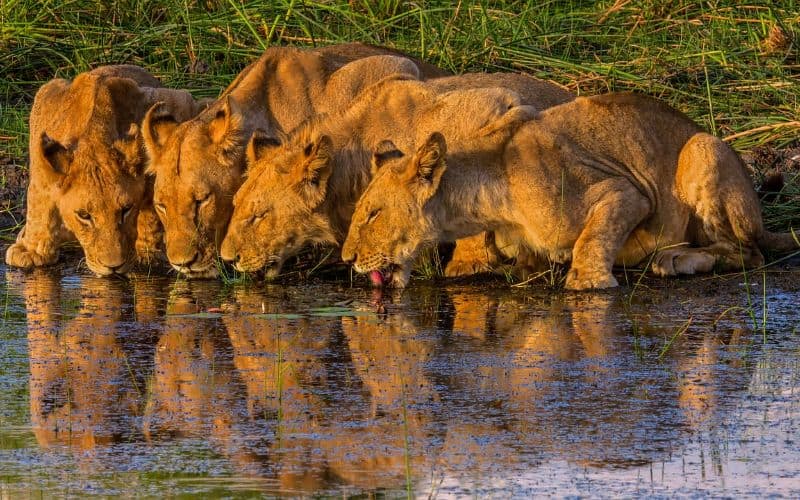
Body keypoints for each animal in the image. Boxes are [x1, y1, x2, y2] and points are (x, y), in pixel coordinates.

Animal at [4, 64, 205, 276]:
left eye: (126, 210)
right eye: (84, 216)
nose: (114, 267)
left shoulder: (175, 101)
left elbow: (151, 208)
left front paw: (146, 253)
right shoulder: (44, 106)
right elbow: (38, 201)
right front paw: (31, 251)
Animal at [342, 92, 792, 292]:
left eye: (373, 214)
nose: (347, 259)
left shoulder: (625, 192)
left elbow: (593, 238)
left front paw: (588, 281)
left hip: (703, 147)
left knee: (747, 252)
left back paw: (676, 260)